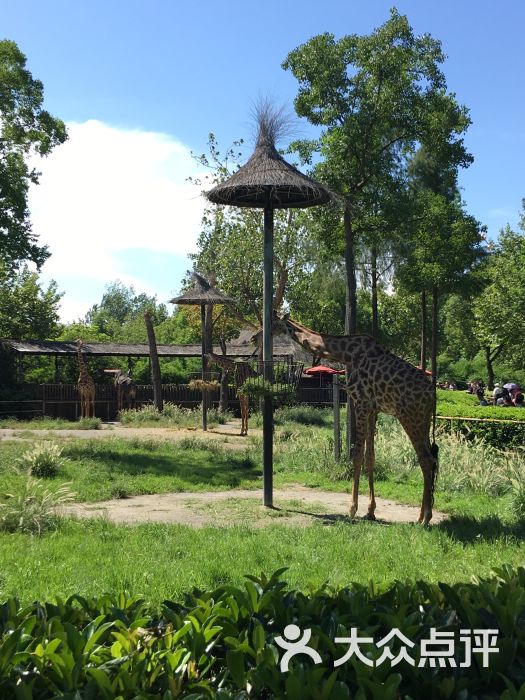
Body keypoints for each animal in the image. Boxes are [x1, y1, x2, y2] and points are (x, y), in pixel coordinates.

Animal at [272, 318, 436, 524]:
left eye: (273, 323)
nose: (254, 337)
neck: (348, 354)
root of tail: (432, 395)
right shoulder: (373, 410)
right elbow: (370, 457)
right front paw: (370, 511)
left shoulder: (361, 404)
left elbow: (357, 456)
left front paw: (352, 509)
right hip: (424, 420)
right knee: (431, 459)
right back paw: (421, 515)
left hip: (409, 417)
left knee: (426, 459)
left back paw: (425, 518)